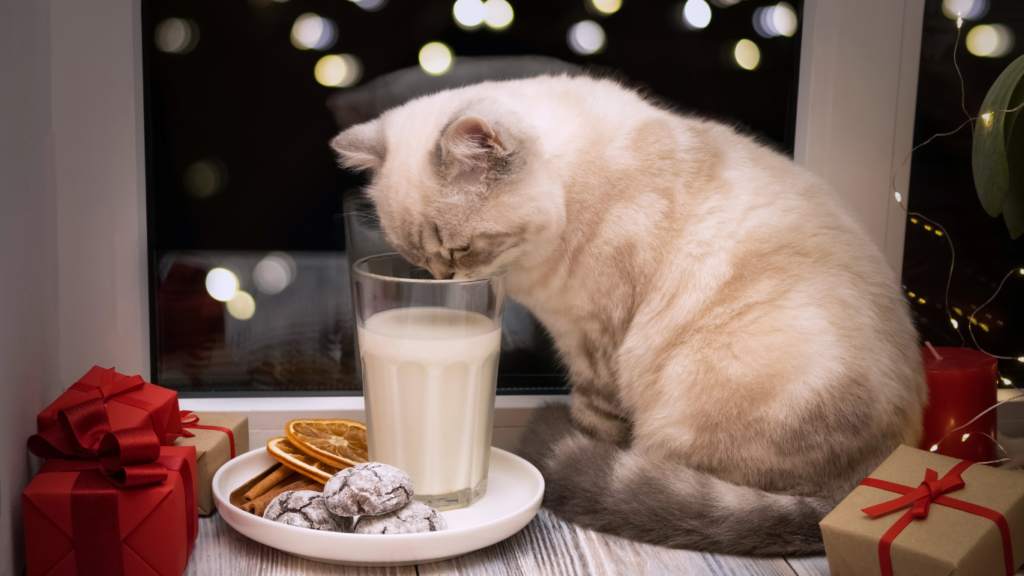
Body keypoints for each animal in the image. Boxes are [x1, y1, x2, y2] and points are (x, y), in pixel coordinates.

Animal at [329, 73, 929, 553]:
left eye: (457, 251)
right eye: (416, 260)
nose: (447, 285)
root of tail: (858, 485)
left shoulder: (596, 343)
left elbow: (595, 425)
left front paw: (584, 444)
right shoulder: (575, 337)